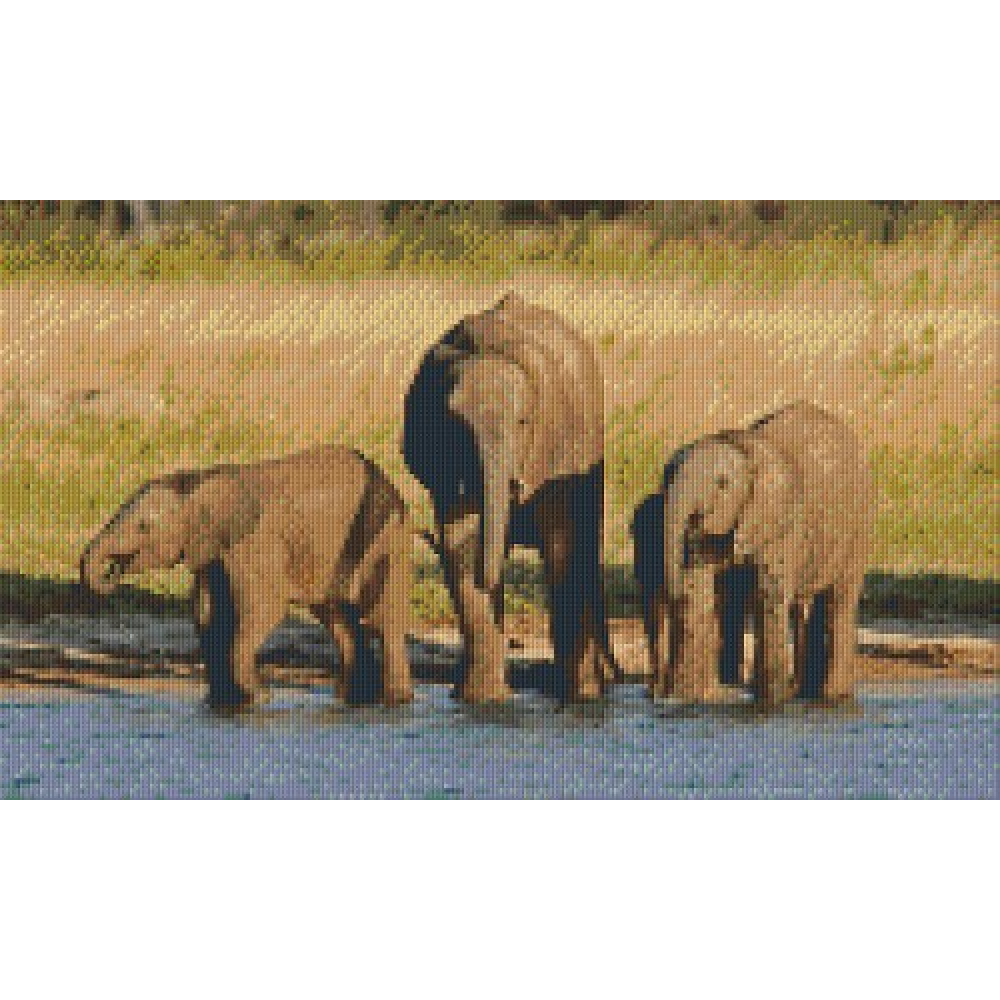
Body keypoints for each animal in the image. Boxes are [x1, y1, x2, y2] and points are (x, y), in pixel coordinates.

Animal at [80, 444, 414, 712]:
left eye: (143, 527)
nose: (113, 569)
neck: (198, 482)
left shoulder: (255, 542)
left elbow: (264, 609)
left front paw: (258, 700)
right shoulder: (213, 551)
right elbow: (207, 616)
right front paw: (222, 705)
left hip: (385, 537)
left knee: (381, 616)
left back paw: (395, 702)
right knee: (337, 616)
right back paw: (357, 702)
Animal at [403, 292, 620, 704]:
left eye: (522, 422)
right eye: (455, 425)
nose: (422, 535)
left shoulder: (555, 444)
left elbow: (561, 542)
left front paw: (577, 697)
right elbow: (460, 541)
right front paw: (482, 700)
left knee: (586, 546)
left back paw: (599, 684)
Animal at [632, 402, 874, 706]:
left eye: (722, 484)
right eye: (667, 478)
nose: (670, 589)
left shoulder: (781, 523)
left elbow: (768, 595)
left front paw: (770, 703)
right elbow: (700, 593)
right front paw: (687, 700)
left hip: (859, 529)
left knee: (839, 600)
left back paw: (832, 697)